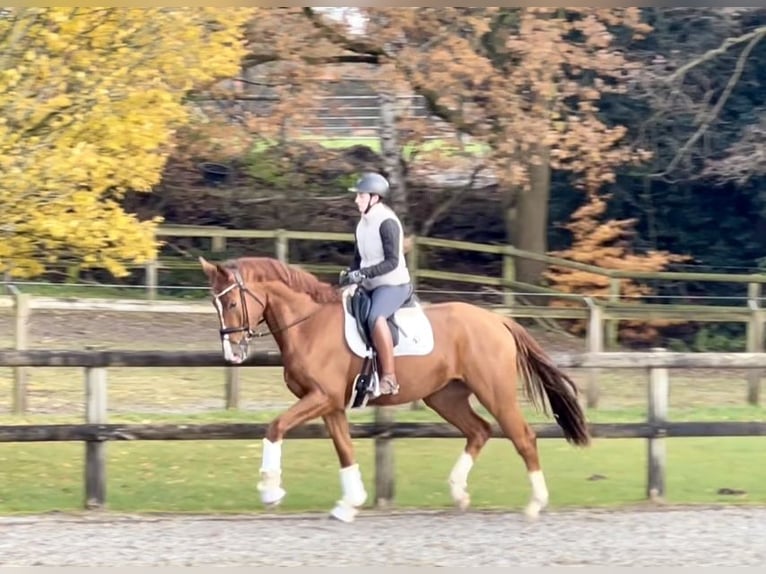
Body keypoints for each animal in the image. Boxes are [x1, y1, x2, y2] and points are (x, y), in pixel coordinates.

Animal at [198, 258, 588, 524]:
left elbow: (275, 427)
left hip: (495, 392)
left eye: (231, 303)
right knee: (479, 430)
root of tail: (498, 320)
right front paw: (350, 503)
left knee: (523, 437)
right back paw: (459, 492)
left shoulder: (321, 398)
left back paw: (535, 503)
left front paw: (270, 491)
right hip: (444, 396)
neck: (310, 324)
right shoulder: (331, 404)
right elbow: (344, 449)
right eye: (215, 304)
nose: (233, 354)